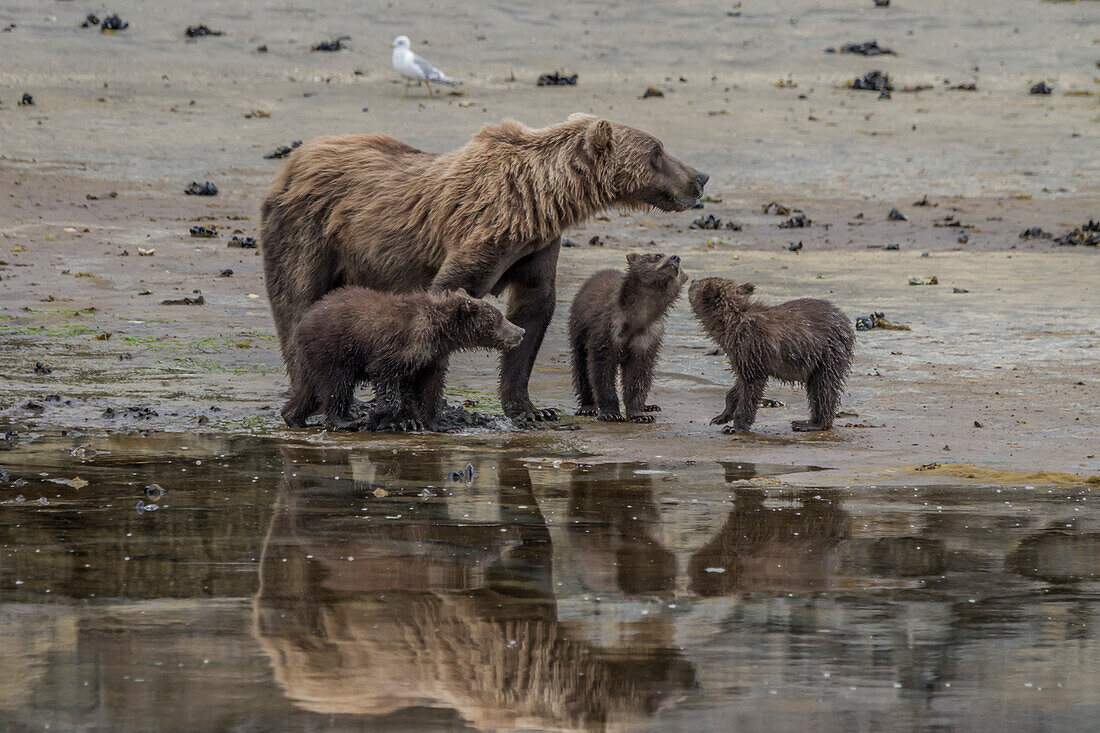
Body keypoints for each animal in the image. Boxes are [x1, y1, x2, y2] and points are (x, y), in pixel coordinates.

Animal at [259, 115, 704, 422]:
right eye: (656, 150)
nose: (700, 176)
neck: (540, 200)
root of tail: (291, 163)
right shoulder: (485, 233)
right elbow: (451, 297)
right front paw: (420, 408)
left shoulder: (535, 248)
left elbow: (534, 311)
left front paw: (531, 409)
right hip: (307, 231)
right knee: (296, 302)